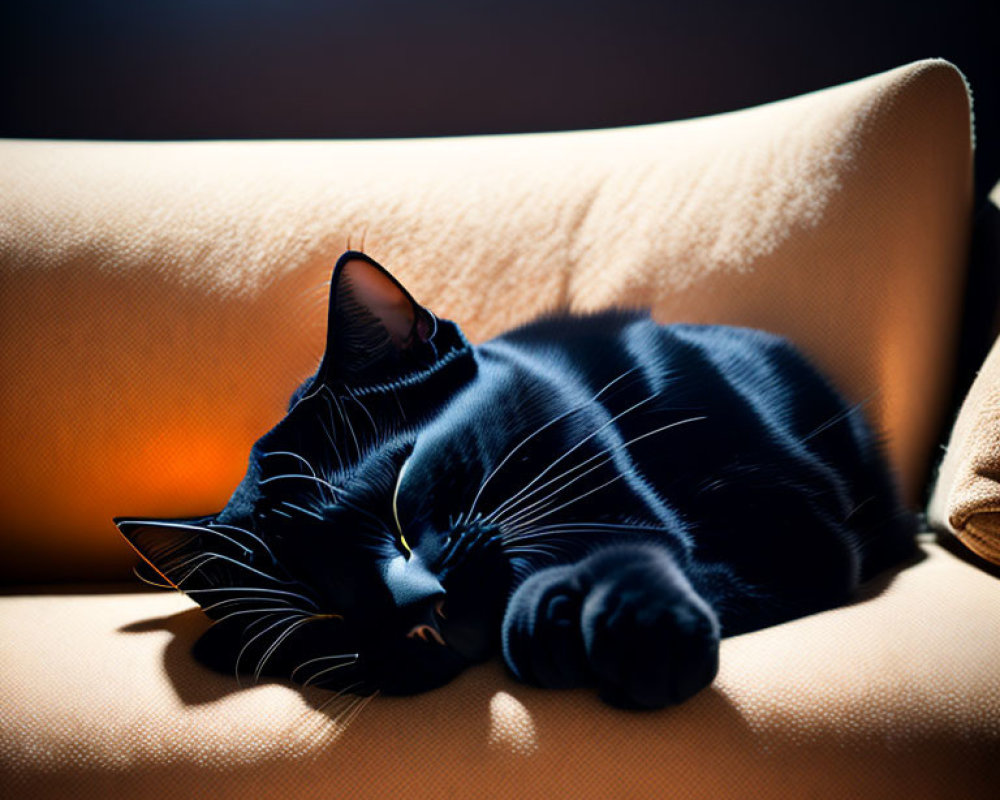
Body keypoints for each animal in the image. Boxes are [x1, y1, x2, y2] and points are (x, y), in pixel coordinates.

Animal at [115, 250, 916, 708]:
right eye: (318, 616)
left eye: (399, 490)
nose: (418, 612)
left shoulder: (799, 535)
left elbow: (670, 560)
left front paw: (614, 622)